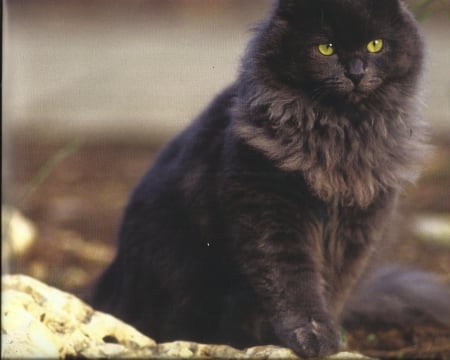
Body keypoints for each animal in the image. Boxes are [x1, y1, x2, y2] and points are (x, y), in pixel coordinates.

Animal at [91, 0, 446, 358]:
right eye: (326, 48)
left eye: (376, 44)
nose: (356, 72)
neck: (340, 134)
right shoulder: (270, 214)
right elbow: (292, 286)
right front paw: (312, 336)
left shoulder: (358, 230)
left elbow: (332, 287)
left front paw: (326, 336)